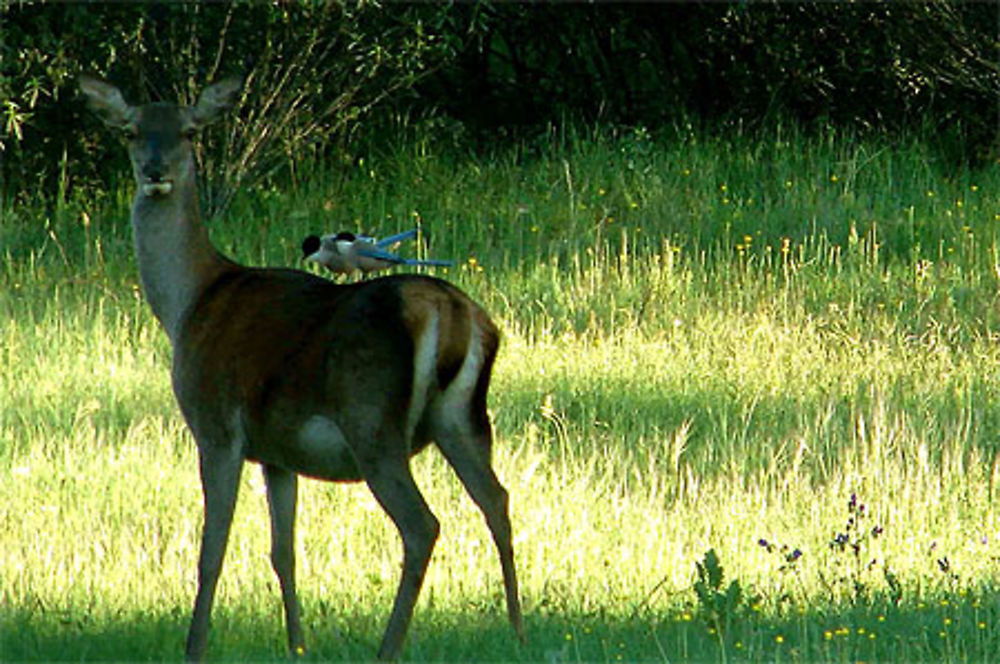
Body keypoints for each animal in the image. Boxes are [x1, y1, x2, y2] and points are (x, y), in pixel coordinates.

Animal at [80, 75, 524, 660]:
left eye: (190, 130)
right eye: (131, 130)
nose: (156, 171)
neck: (190, 303)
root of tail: (451, 314)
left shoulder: (216, 427)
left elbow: (212, 549)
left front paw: (194, 646)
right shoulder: (277, 452)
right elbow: (283, 551)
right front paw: (297, 644)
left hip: (371, 418)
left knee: (422, 523)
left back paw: (388, 646)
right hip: (463, 419)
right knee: (496, 498)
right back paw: (517, 629)